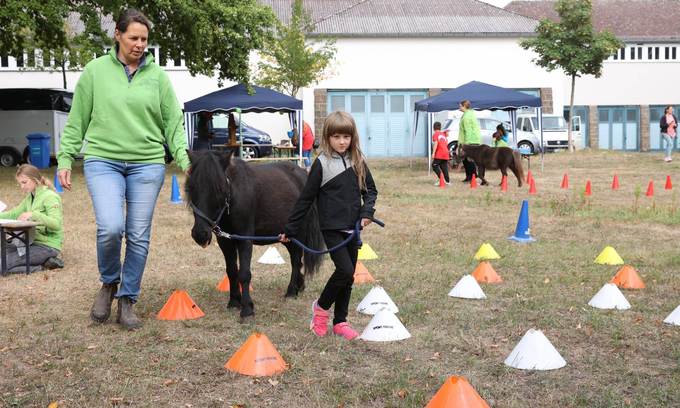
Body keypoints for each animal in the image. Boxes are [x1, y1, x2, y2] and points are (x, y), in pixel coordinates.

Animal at [186, 150, 324, 318]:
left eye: (219, 188)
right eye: (191, 186)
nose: (200, 234)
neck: (234, 196)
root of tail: (303, 174)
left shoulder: (245, 239)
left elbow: (244, 273)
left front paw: (247, 309)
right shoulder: (225, 241)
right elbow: (232, 271)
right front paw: (234, 301)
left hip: (298, 233)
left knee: (296, 260)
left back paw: (291, 291)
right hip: (285, 236)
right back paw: (299, 285)